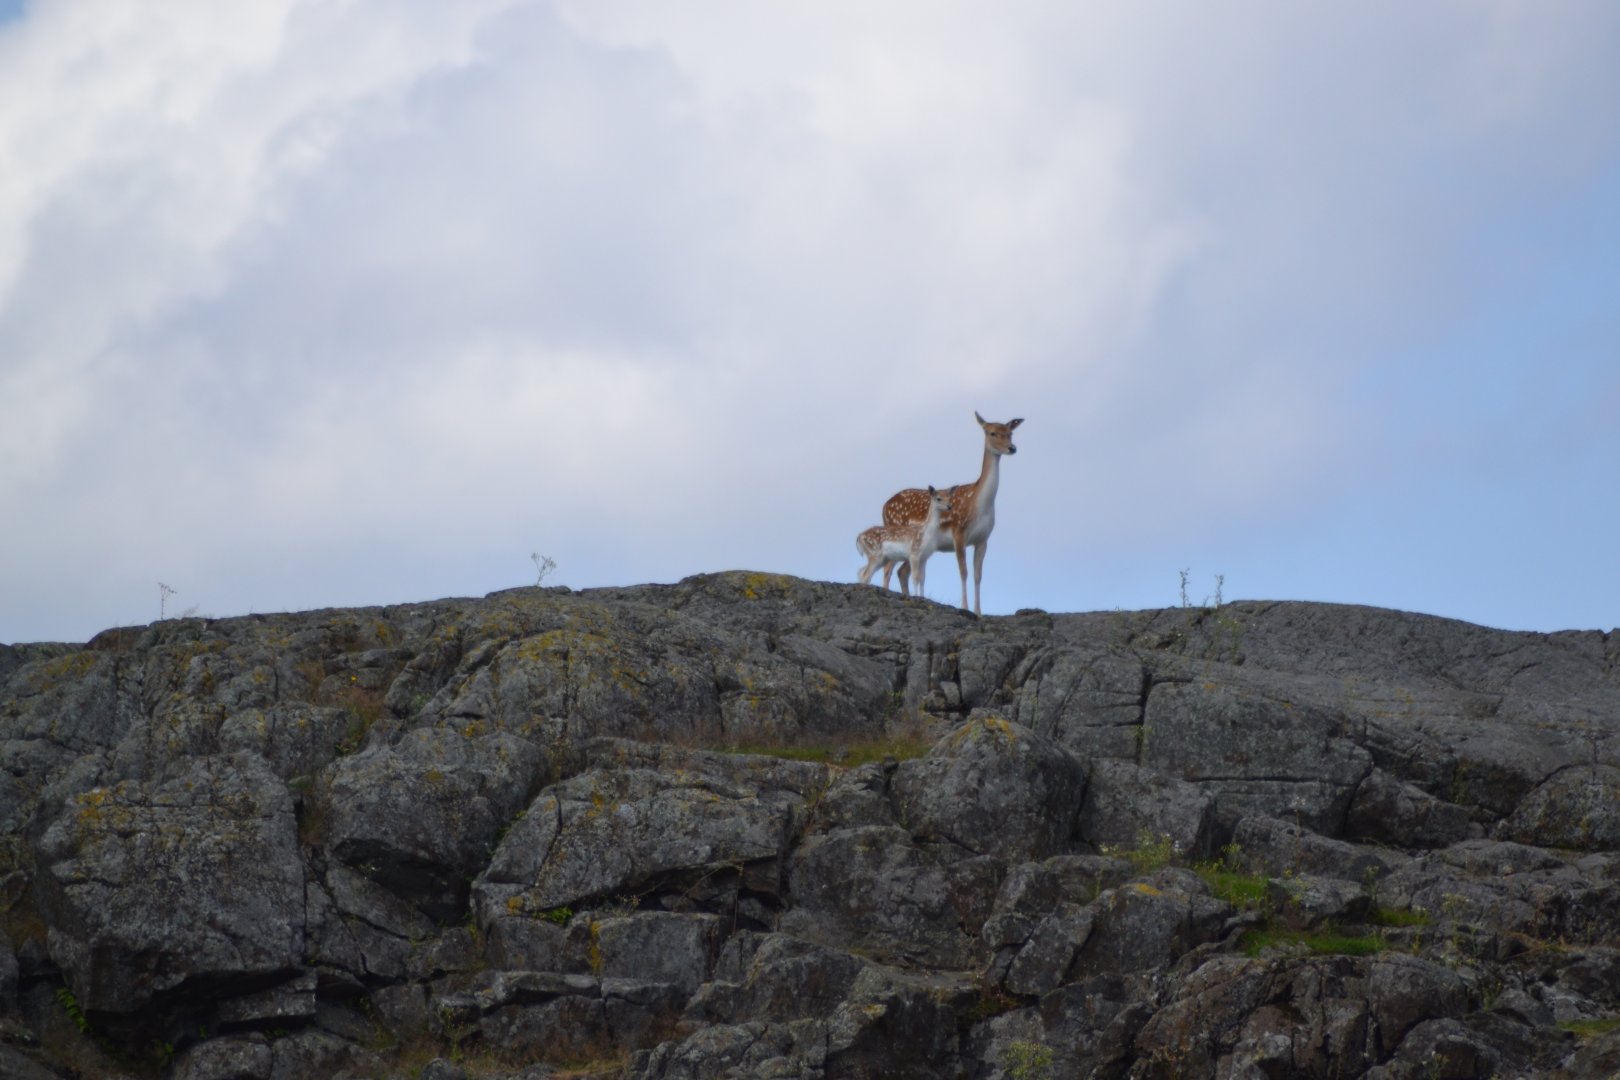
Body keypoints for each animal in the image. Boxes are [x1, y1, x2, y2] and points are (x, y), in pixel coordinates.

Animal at [883, 412, 1023, 616]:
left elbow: (978, 575)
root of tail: (884, 507)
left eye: (1010, 433)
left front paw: (979, 612)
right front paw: (964, 607)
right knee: (887, 570)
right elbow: (963, 571)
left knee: (902, 571)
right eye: (992, 432)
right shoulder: (959, 531)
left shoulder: (983, 538)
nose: (1012, 448)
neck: (980, 504)